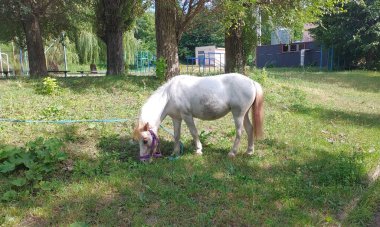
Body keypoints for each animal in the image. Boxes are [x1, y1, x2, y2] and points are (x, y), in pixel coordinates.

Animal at [134, 73, 264, 161]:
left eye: (145, 140)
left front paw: (198, 150)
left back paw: (232, 153)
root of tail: (251, 82)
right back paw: (249, 151)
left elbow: (194, 132)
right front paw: (175, 153)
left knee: (239, 133)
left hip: (238, 115)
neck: (169, 95)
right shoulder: (176, 118)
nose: (143, 160)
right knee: (250, 129)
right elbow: (176, 135)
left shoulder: (187, 115)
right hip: (244, 114)